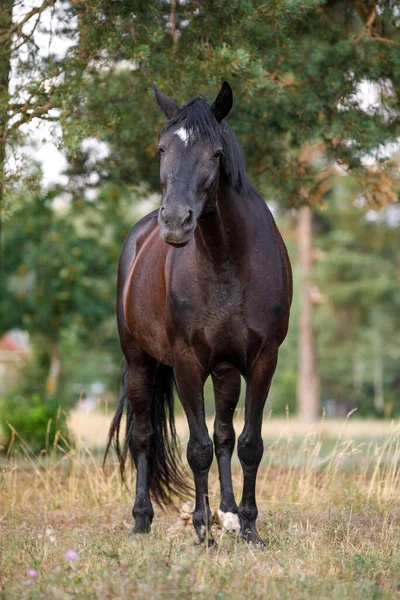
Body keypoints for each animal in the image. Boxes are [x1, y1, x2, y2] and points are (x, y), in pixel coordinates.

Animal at [105, 81, 294, 548]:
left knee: (225, 434)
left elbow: (247, 444)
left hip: (225, 371)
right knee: (143, 438)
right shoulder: (187, 364)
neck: (228, 259)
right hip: (141, 362)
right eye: (161, 148)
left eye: (215, 154)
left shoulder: (262, 361)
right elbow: (197, 449)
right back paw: (142, 521)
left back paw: (228, 514)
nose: (175, 222)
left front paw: (248, 528)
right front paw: (202, 530)